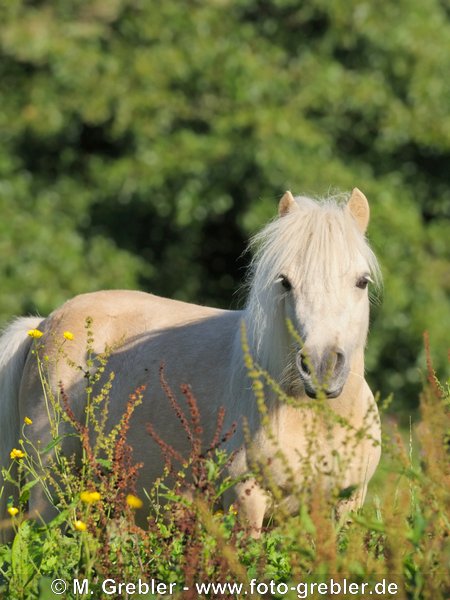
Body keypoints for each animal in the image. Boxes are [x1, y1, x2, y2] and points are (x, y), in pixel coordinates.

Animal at [0, 188, 382, 540]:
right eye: (285, 282)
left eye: (361, 281)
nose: (321, 366)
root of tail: (42, 325)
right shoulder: (247, 502)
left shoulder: (345, 508)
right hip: (48, 490)